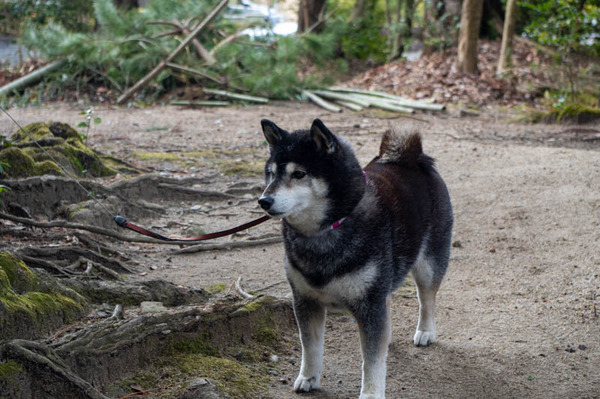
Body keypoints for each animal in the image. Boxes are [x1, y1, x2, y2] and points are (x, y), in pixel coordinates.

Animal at [256, 119, 450, 399]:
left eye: (299, 174)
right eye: (271, 173)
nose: (264, 200)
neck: (326, 231)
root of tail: (410, 159)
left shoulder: (369, 305)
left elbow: (371, 361)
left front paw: (371, 393)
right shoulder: (306, 300)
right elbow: (310, 347)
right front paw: (309, 377)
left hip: (428, 265)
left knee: (427, 299)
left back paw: (425, 331)